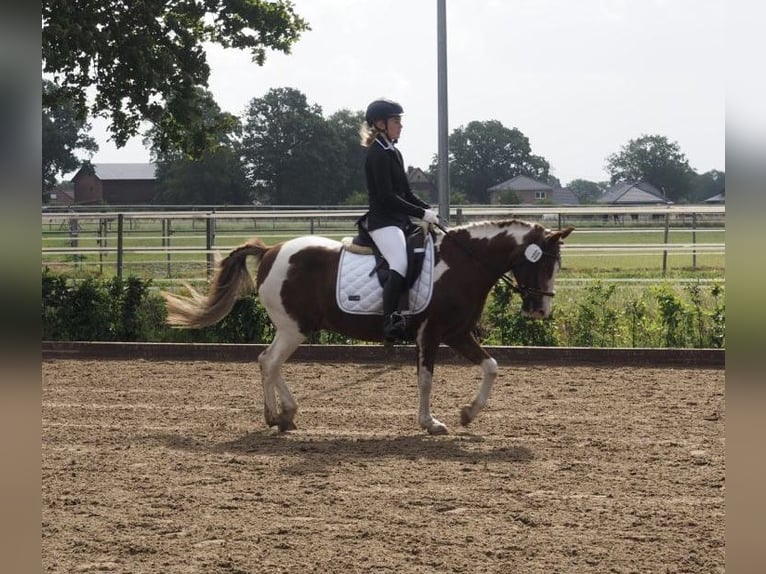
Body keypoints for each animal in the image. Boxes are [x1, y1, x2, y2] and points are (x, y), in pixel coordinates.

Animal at [162, 219, 574, 435]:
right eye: (542, 261)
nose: (542, 309)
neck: (461, 264)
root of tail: (271, 250)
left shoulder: (457, 333)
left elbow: (491, 366)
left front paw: (468, 413)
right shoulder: (432, 333)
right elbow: (426, 380)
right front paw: (430, 422)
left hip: (291, 328)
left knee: (268, 362)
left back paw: (282, 415)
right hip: (294, 328)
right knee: (270, 362)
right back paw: (280, 415)